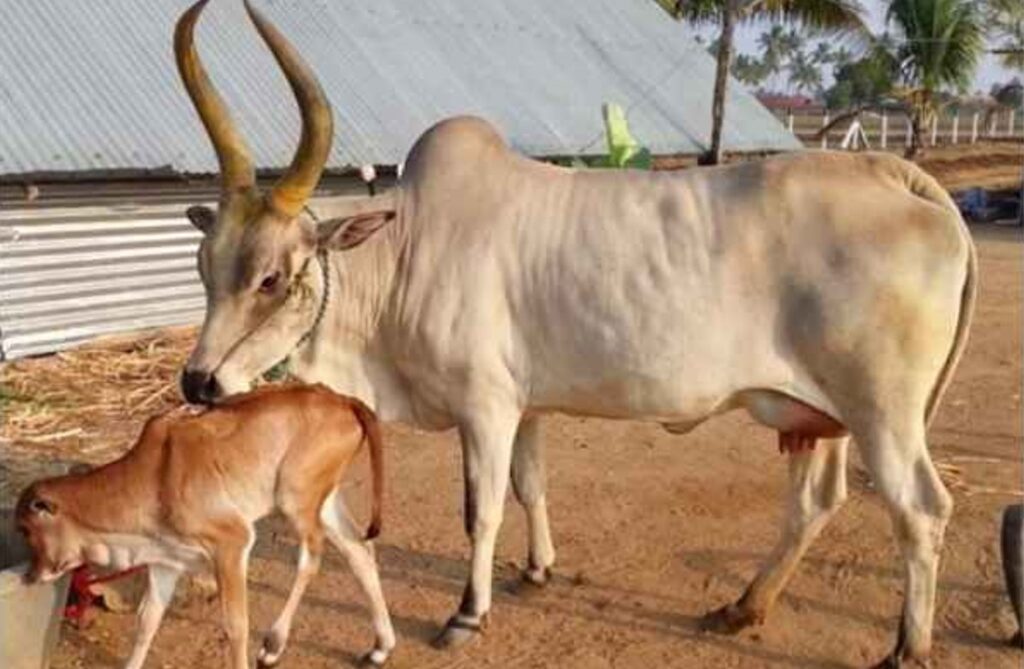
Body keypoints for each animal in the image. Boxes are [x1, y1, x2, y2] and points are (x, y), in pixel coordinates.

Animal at [16, 383, 391, 663]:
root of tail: (343, 399)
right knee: (359, 551)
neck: (150, 480)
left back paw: (273, 644)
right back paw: (380, 647)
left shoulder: (232, 543)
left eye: (26, 528)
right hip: (323, 499)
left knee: (311, 559)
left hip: (294, 496)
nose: (31, 575)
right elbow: (146, 621)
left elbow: (236, 626)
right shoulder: (166, 561)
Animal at [176, 2, 974, 663]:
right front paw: (538, 569)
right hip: (820, 415)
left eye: (274, 277)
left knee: (921, 511)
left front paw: (468, 614)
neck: (406, 248)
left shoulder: (485, 406)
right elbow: (531, 487)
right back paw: (744, 607)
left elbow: (483, 509)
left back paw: (906, 648)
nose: (198, 381)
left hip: (884, 413)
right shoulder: (525, 405)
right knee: (816, 504)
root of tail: (893, 173)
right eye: (205, 265)